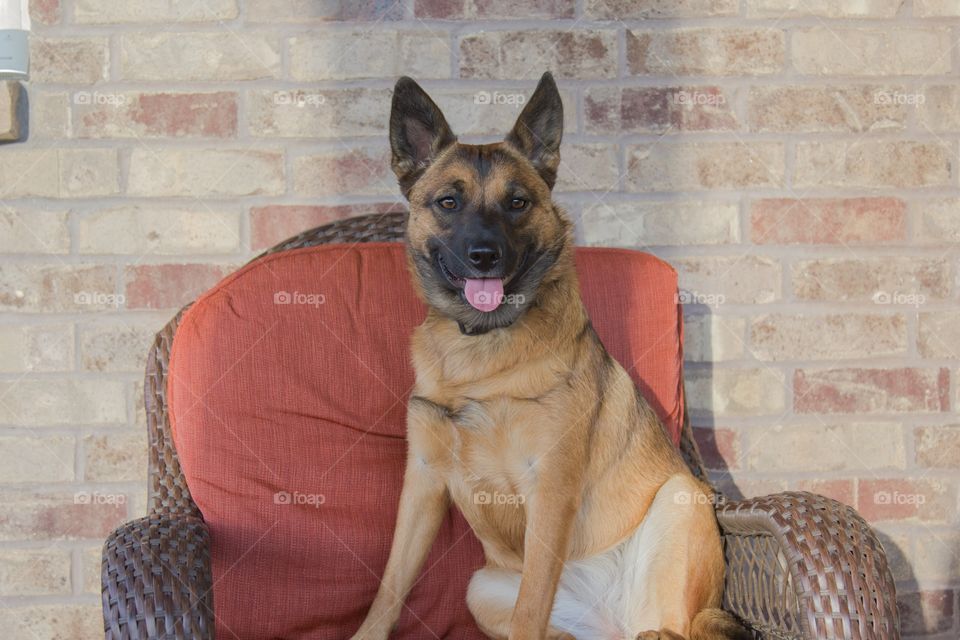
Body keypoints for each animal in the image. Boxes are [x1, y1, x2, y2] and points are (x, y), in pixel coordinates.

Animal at [348, 72, 748, 636]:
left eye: (517, 203)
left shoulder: (550, 490)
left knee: (670, 626)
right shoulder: (422, 483)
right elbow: (390, 585)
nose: (485, 257)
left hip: (678, 502)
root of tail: (612, 616)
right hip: (480, 589)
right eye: (448, 202)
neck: (482, 346)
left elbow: (531, 603)